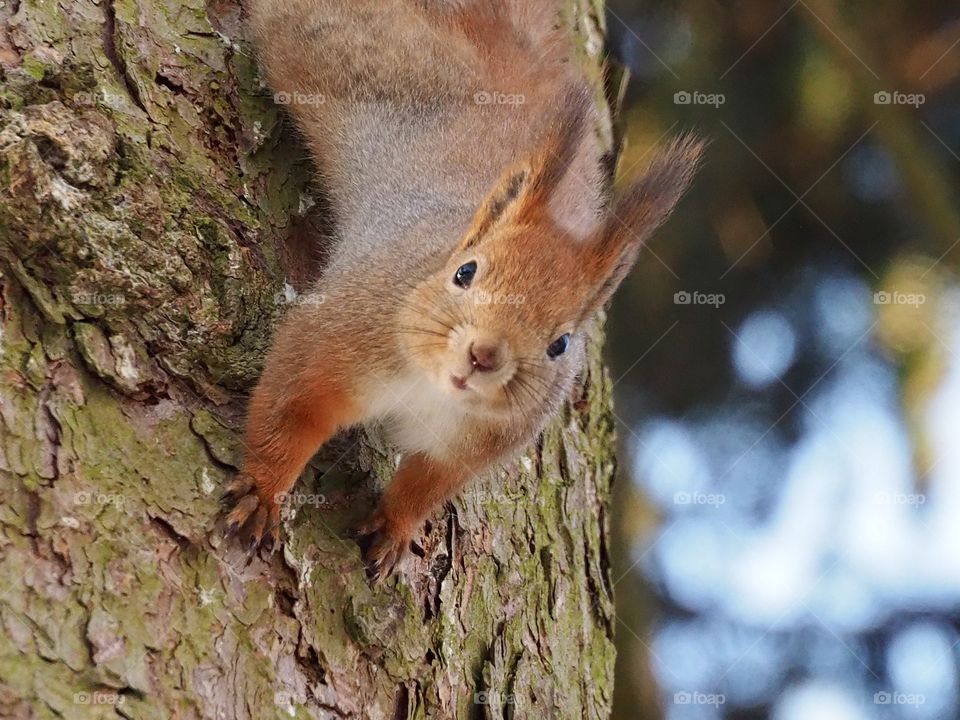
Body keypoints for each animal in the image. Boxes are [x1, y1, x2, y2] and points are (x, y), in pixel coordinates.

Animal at [221, 0, 702, 580]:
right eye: (465, 272)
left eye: (561, 343)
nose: (484, 355)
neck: (431, 387)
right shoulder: (337, 332)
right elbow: (290, 411)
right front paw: (264, 492)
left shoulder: (477, 444)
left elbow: (426, 485)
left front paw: (395, 529)